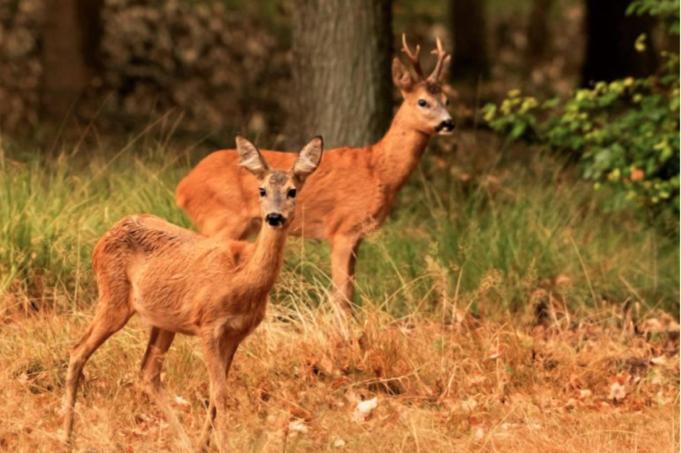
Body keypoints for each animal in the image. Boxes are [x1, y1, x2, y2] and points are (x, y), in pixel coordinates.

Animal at [61, 135, 322, 448]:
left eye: (292, 191)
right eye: (262, 190)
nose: (274, 217)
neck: (242, 279)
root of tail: (106, 235)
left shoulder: (236, 334)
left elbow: (216, 390)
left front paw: (204, 444)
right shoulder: (208, 324)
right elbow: (219, 390)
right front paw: (224, 445)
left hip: (163, 321)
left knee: (148, 371)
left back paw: (184, 442)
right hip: (113, 297)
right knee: (78, 350)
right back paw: (66, 436)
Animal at [175, 34, 452, 314]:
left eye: (447, 100)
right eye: (422, 101)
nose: (448, 123)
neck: (379, 171)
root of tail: (183, 187)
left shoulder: (357, 236)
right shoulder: (342, 228)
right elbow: (342, 295)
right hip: (221, 219)